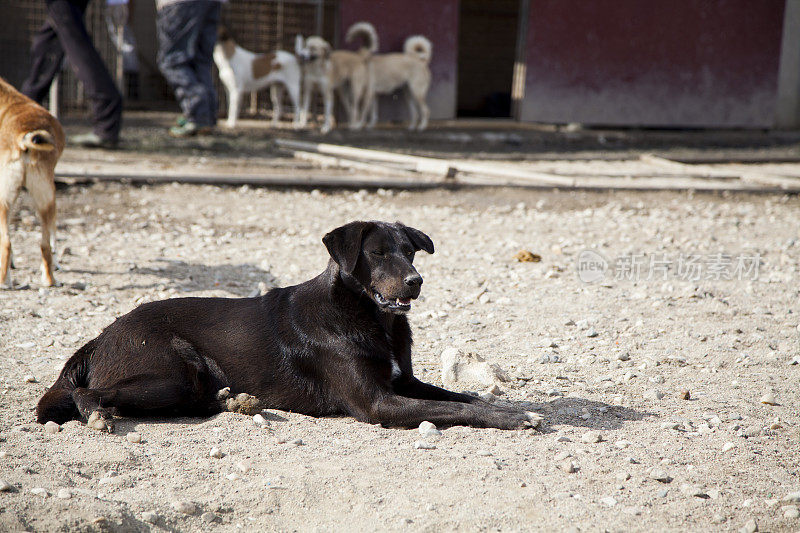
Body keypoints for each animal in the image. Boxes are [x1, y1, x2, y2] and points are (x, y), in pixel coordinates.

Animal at [0, 76, 64, 286]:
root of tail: (23, 139)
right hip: (45, 197)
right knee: (44, 243)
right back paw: (50, 279)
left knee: (7, 241)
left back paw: (5, 281)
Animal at [36, 221, 536, 432]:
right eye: (376, 253)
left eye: (410, 251)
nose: (415, 282)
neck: (366, 316)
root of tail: (101, 335)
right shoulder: (378, 402)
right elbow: (453, 408)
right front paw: (513, 418)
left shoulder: (405, 383)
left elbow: (463, 397)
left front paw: (509, 407)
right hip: (171, 371)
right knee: (89, 394)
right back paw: (97, 415)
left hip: (185, 381)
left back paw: (235, 401)